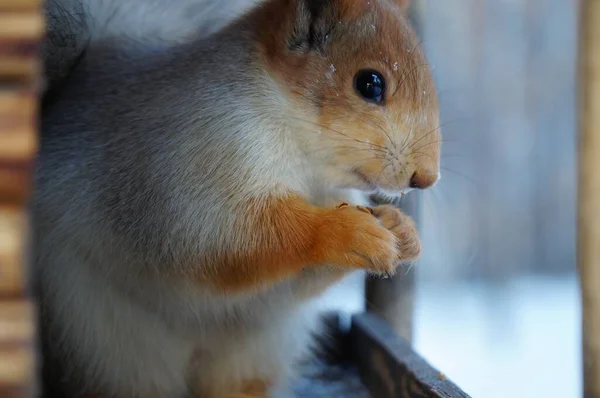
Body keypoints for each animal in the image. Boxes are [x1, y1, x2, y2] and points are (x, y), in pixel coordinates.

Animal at [32, 0, 438, 394]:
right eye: (369, 83)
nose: (426, 178)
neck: (305, 157)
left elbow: (294, 283)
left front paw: (402, 228)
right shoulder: (188, 173)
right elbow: (227, 239)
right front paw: (346, 232)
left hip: (257, 349)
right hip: (102, 341)